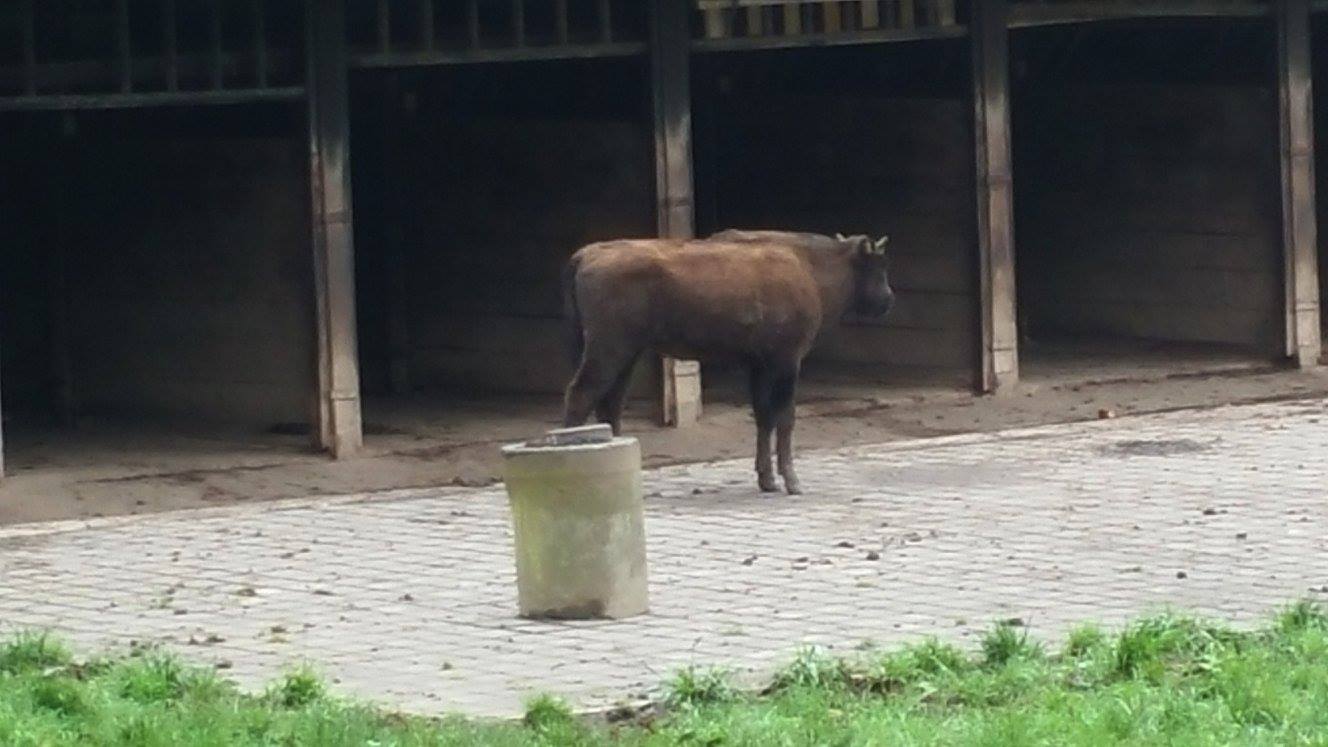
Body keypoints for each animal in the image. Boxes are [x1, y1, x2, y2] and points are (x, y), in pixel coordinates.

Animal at [561, 230, 894, 494]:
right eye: (878, 267)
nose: (888, 299)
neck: (809, 267)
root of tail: (586, 254)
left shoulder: (759, 366)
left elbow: (763, 416)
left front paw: (767, 480)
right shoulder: (787, 362)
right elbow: (785, 417)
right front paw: (792, 481)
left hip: (626, 355)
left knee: (610, 405)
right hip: (608, 351)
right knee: (581, 396)